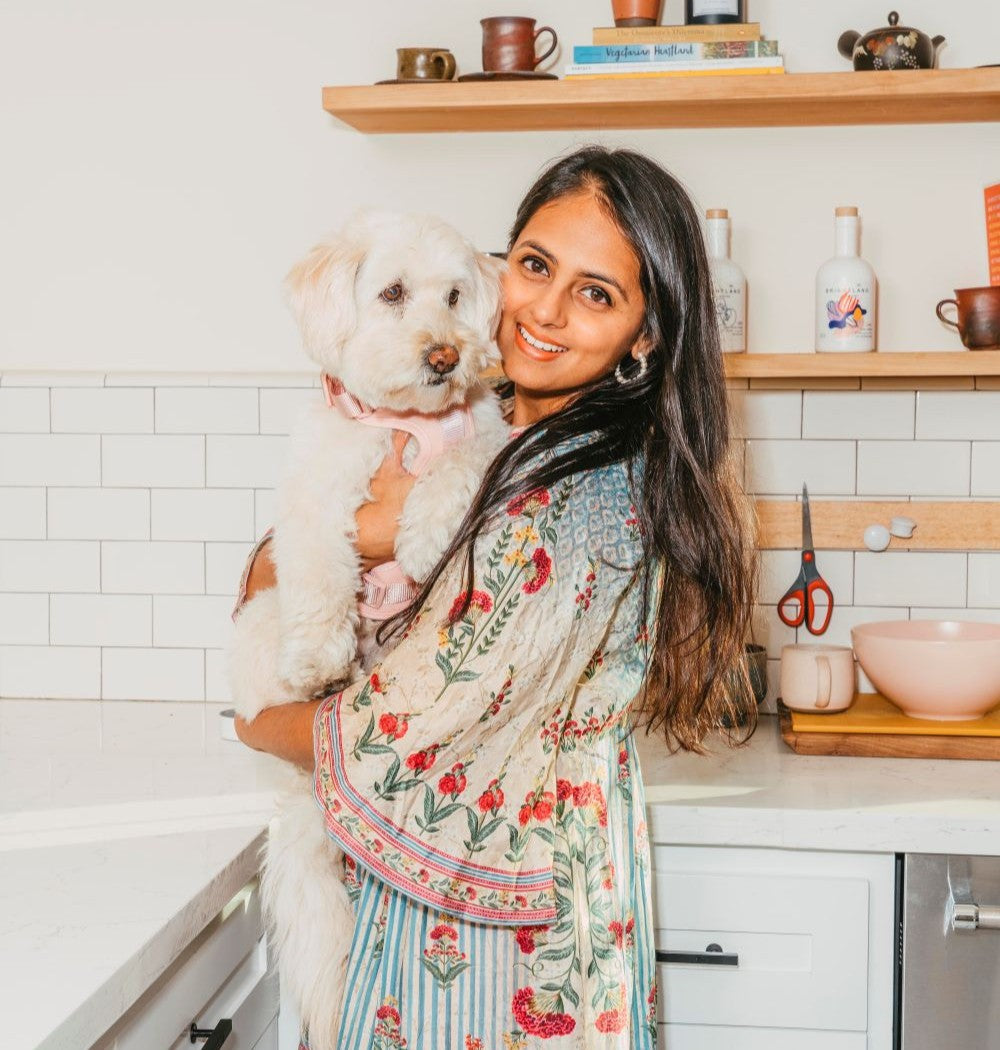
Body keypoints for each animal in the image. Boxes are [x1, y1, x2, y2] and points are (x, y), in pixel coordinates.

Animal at [228, 210, 508, 1050]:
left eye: (455, 296)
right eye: (391, 293)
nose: (445, 355)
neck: (403, 423)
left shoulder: (486, 438)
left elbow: (460, 468)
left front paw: (426, 537)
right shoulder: (318, 487)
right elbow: (320, 564)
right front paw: (319, 655)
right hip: (258, 623)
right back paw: (315, 678)